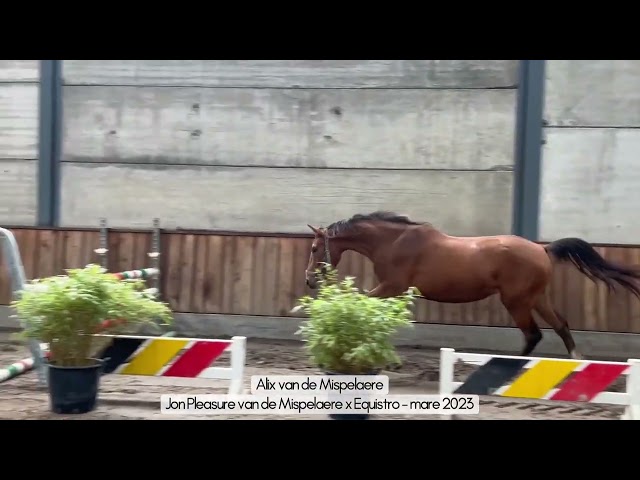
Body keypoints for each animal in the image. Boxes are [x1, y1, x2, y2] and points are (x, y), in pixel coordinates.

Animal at [304, 211, 640, 359]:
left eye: (315, 248)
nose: (309, 280)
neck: (394, 241)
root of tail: (541, 249)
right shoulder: (394, 291)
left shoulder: (391, 287)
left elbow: (365, 303)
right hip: (536, 297)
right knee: (560, 325)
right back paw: (575, 360)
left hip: (516, 301)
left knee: (533, 334)